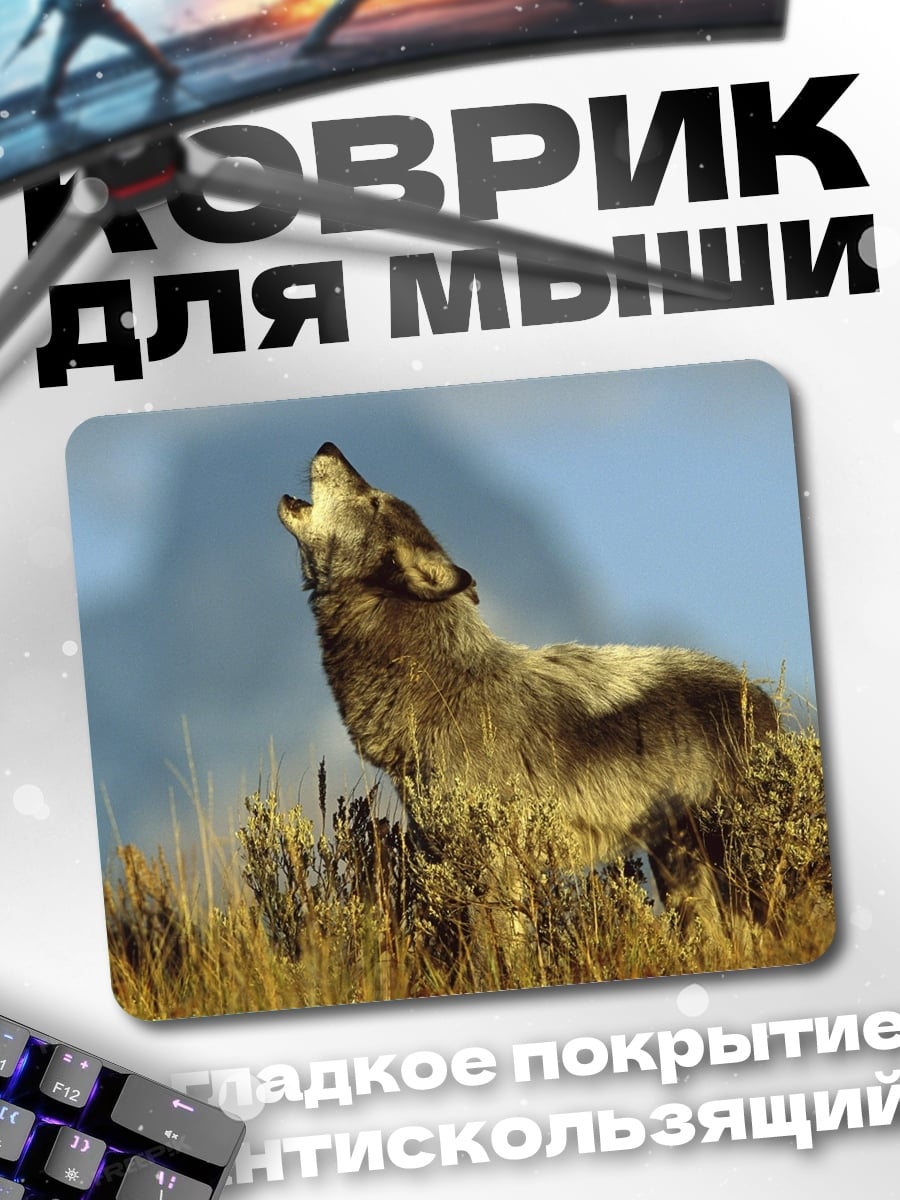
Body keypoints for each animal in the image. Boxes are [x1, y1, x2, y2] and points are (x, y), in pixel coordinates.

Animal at [278, 442, 778, 924]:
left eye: (374, 500)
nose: (328, 445)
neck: (442, 687)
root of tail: (762, 699)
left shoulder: (495, 864)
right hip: (680, 871)